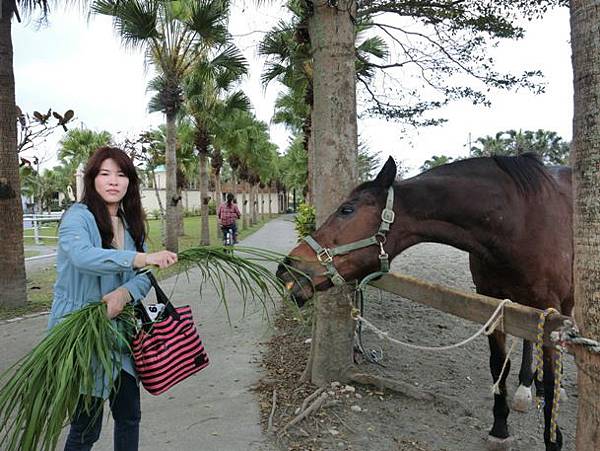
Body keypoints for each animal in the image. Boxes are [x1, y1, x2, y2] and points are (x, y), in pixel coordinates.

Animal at [278, 155, 576, 451]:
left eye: (347, 210)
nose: (286, 269)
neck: (519, 221)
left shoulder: (548, 307)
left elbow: (550, 379)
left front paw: (553, 437)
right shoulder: (492, 304)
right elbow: (498, 365)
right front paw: (500, 429)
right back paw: (527, 386)